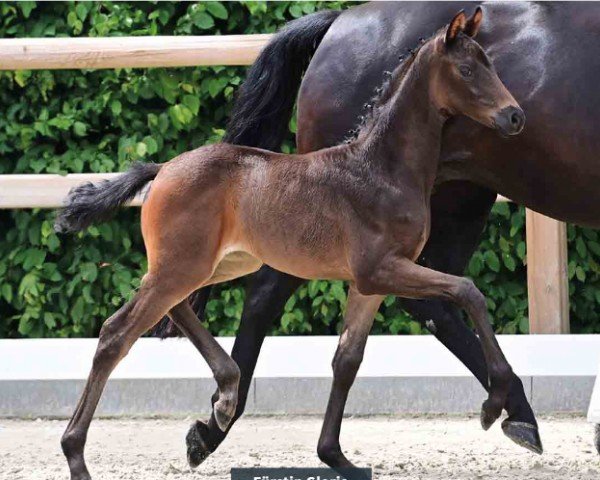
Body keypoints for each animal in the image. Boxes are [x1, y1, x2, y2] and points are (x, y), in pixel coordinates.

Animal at [57, 10, 524, 476]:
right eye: (467, 70)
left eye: (491, 63)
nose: (515, 117)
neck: (381, 168)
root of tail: (163, 168)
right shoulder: (381, 269)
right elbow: (469, 291)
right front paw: (495, 403)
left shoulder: (370, 284)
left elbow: (346, 360)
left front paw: (335, 457)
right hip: (182, 266)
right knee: (117, 333)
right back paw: (76, 454)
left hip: (215, 264)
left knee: (175, 309)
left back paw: (227, 396)